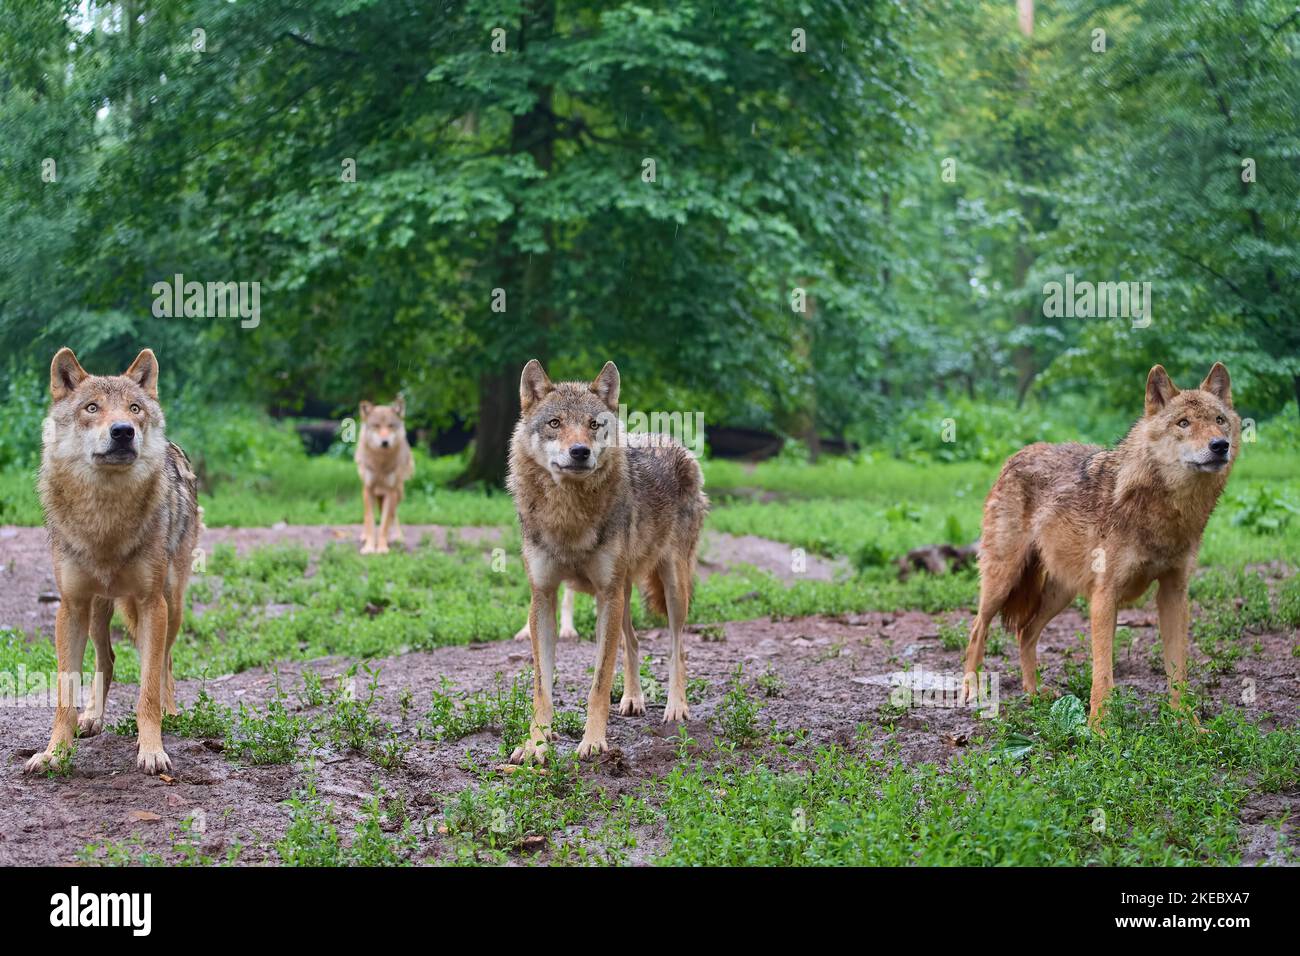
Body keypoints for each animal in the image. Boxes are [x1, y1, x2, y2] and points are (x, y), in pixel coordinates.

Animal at [26, 348, 200, 775]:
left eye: (134, 409)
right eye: (92, 407)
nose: (123, 430)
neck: (105, 518)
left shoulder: (152, 604)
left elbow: (148, 688)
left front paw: (151, 749)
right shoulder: (71, 607)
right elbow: (64, 693)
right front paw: (55, 753)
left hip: (172, 604)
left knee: (164, 661)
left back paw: (171, 712)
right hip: (97, 610)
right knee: (108, 658)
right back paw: (92, 717)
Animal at [353, 395, 413, 554]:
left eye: (391, 426)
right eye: (376, 426)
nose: (384, 442)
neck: (380, 463)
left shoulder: (390, 491)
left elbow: (385, 524)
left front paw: (382, 548)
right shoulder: (368, 489)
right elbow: (370, 521)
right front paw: (368, 548)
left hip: (397, 491)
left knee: (393, 515)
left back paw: (397, 537)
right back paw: (364, 536)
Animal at [506, 358, 712, 764]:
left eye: (593, 424)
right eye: (555, 423)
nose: (580, 451)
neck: (568, 516)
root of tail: (670, 440)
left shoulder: (607, 594)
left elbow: (599, 683)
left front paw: (593, 742)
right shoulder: (545, 597)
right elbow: (542, 687)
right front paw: (536, 746)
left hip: (670, 588)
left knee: (677, 646)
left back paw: (675, 706)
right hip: (623, 595)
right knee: (633, 643)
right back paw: (633, 699)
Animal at [961, 366, 1242, 723]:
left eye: (1219, 420)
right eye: (1183, 423)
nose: (1220, 445)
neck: (1165, 511)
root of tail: (1016, 454)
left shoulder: (1174, 594)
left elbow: (1178, 672)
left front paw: (1188, 726)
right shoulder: (1105, 597)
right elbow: (1103, 676)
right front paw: (1099, 729)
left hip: (1061, 593)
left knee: (1025, 633)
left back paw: (1034, 694)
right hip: (1002, 580)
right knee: (977, 629)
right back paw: (972, 691)